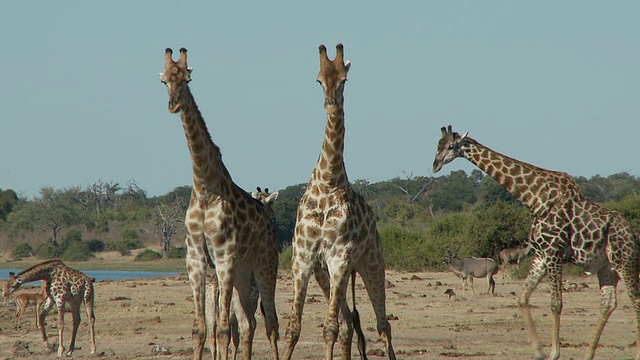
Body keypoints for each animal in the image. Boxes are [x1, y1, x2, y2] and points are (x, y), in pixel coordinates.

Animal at [284, 44, 396, 360]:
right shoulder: (304, 257)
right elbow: (293, 328)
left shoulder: (339, 256)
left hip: (370, 263)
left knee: (382, 324)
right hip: (329, 273)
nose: (331, 104)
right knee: (349, 322)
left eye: (344, 80)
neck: (327, 182)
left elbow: (329, 328)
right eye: (319, 80)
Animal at [430, 124, 640, 360]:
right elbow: (522, 296)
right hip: (606, 267)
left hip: (625, 261)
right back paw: (588, 354)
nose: (435, 165)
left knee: (635, 301)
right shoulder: (541, 254)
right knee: (608, 303)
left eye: (451, 146)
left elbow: (556, 303)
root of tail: (633, 233)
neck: (535, 200)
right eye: (438, 145)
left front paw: (554, 353)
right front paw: (538, 350)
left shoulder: (555, 253)